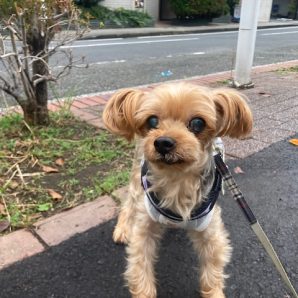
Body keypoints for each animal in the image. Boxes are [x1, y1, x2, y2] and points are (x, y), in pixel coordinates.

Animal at [102, 82, 251, 298]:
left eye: (198, 123)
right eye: (152, 121)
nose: (163, 142)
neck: (177, 180)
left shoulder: (210, 229)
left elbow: (213, 264)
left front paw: (214, 292)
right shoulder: (145, 224)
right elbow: (139, 263)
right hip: (138, 177)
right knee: (129, 203)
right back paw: (122, 229)